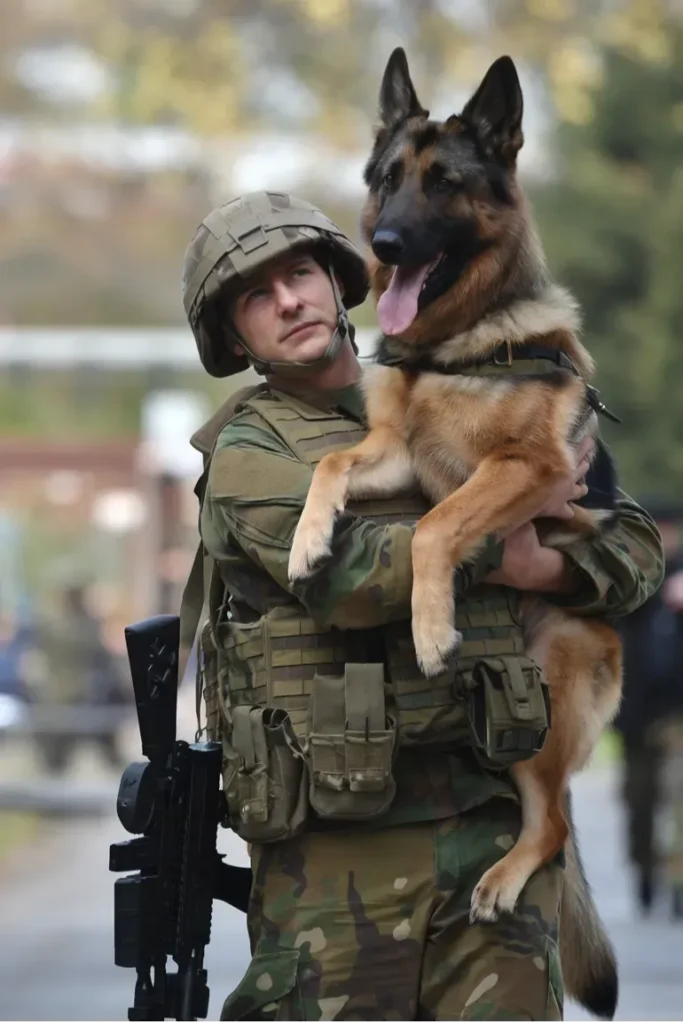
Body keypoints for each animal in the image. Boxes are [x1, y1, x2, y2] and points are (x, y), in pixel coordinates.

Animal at [288, 46, 626, 1015]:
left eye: (443, 184)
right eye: (387, 179)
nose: (385, 247)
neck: (455, 342)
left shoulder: (528, 471)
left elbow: (440, 523)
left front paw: (431, 627)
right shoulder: (395, 454)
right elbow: (333, 464)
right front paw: (305, 540)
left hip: (544, 697)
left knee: (552, 826)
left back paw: (504, 882)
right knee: (546, 821)